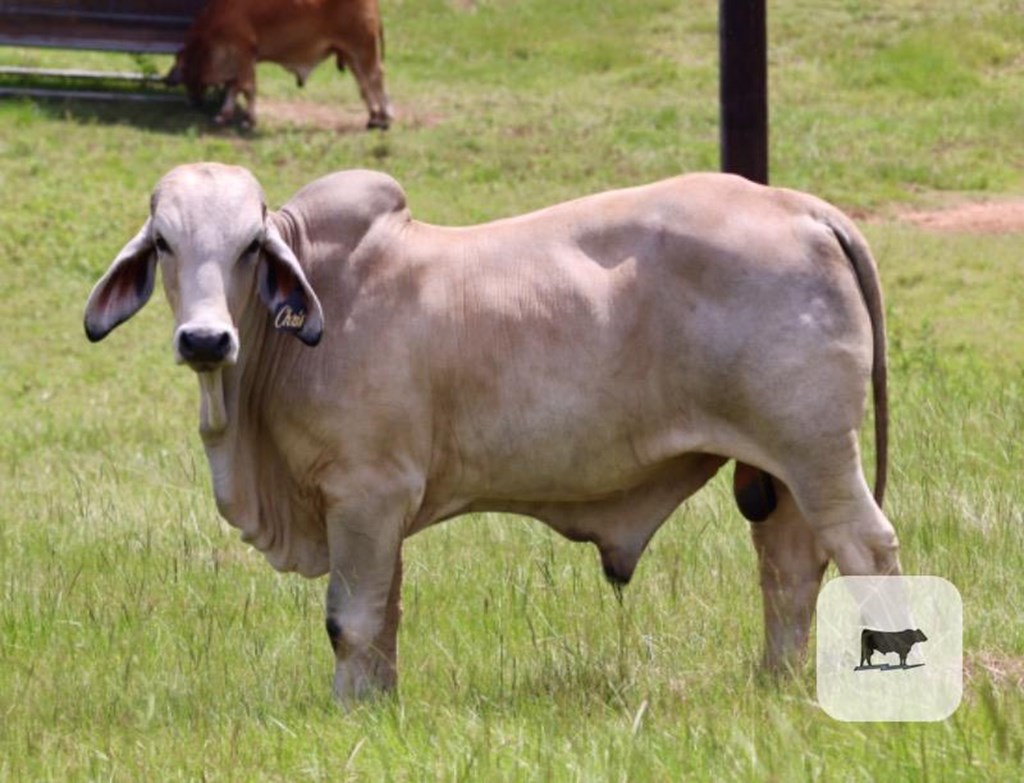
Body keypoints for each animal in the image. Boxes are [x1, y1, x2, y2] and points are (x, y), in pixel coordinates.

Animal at [83, 161, 901, 700]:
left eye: (251, 245)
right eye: (164, 242)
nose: (205, 339)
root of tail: (801, 207)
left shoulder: (365, 494)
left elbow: (350, 622)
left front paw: (347, 712)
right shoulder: (379, 510)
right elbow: (385, 617)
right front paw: (378, 708)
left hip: (819, 455)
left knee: (866, 550)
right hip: (786, 472)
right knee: (789, 568)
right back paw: (773, 685)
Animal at [165, 0, 393, 129]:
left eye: (183, 70)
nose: (168, 79)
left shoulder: (244, 54)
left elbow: (246, 88)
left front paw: (249, 120)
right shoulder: (237, 61)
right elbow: (233, 87)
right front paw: (223, 116)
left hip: (362, 46)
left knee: (375, 77)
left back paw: (385, 117)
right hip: (350, 53)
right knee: (364, 83)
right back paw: (373, 117)